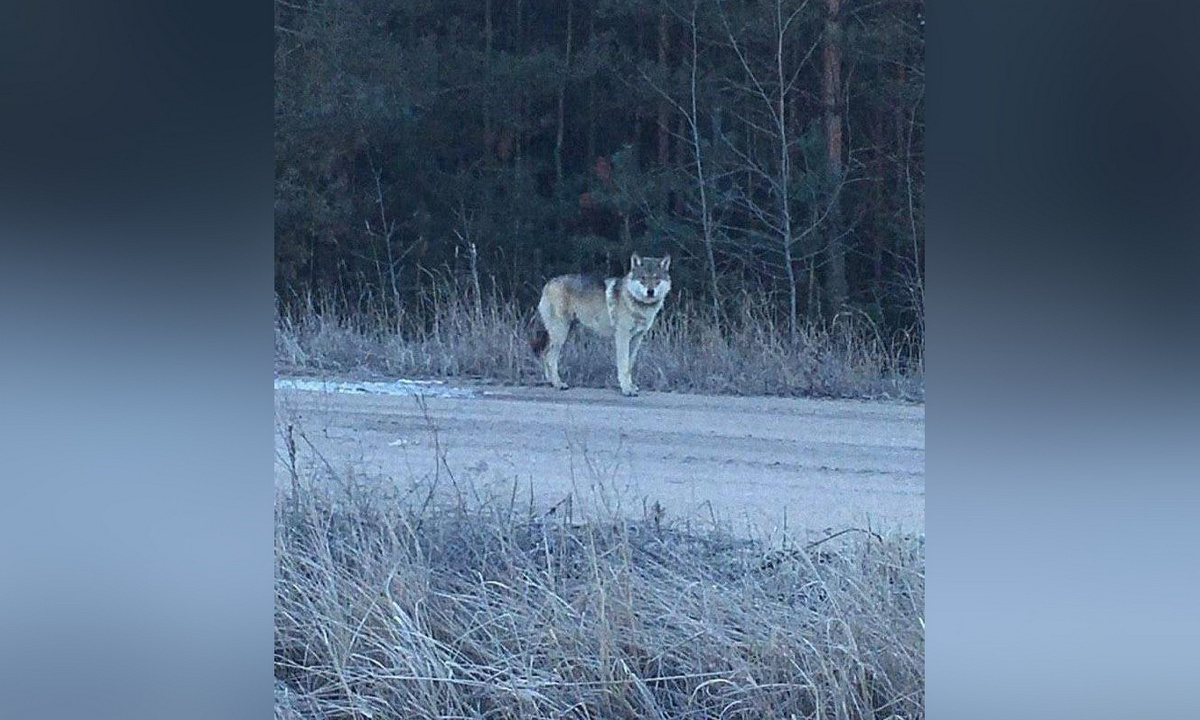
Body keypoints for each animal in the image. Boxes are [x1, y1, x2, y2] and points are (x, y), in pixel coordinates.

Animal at [530, 253, 672, 396]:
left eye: (656, 278)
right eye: (643, 278)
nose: (650, 291)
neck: (637, 304)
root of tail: (548, 283)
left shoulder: (637, 339)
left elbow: (629, 365)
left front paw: (631, 386)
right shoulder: (622, 337)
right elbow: (623, 365)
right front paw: (626, 389)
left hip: (564, 333)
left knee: (545, 356)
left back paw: (552, 382)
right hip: (561, 334)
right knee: (549, 358)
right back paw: (559, 384)